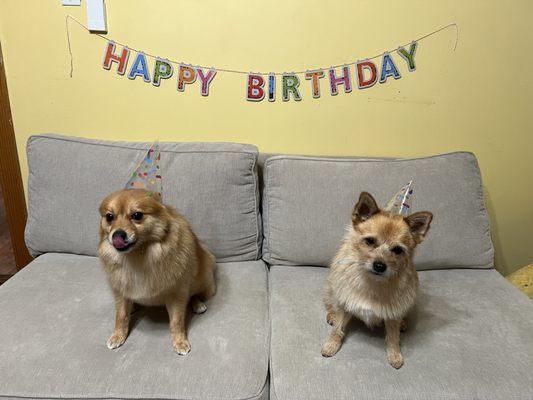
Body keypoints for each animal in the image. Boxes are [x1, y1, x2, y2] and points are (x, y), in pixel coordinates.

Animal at [96, 189, 215, 354]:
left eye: (137, 215)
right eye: (109, 217)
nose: (117, 235)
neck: (137, 255)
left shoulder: (177, 293)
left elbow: (176, 321)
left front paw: (180, 341)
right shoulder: (120, 291)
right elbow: (120, 316)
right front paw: (118, 335)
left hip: (204, 284)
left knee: (194, 295)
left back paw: (197, 304)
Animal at [320, 191, 432, 368]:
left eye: (398, 250)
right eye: (370, 241)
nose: (380, 265)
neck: (372, 282)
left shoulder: (393, 315)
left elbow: (393, 337)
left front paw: (395, 354)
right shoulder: (345, 303)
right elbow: (337, 329)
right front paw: (331, 345)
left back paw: (403, 323)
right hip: (331, 288)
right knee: (333, 305)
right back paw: (332, 314)